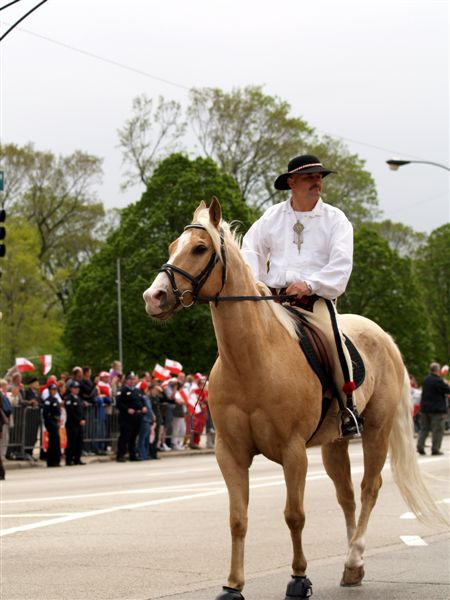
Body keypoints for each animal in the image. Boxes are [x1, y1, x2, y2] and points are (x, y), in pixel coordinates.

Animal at [143, 198, 447, 600]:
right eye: (172, 247)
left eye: (199, 248)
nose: (154, 297)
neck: (252, 359)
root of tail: (381, 334)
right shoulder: (230, 452)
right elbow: (237, 518)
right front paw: (233, 584)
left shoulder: (293, 451)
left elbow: (294, 515)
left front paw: (299, 578)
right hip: (335, 443)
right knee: (347, 495)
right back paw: (353, 565)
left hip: (376, 431)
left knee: (369, 489)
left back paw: (354, 555)